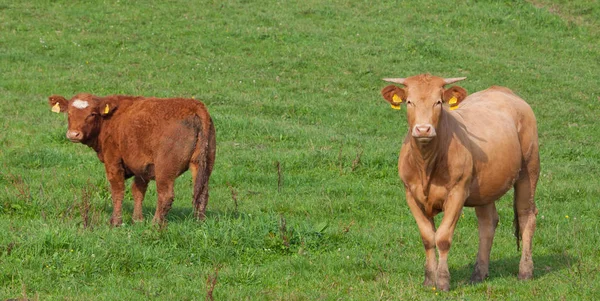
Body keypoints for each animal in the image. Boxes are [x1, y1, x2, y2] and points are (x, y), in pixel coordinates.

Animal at [48, 94, 216, 225]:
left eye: (92, 114)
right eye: (69, 113)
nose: (73, 134)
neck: (110, 120)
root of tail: (195, 106)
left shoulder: (113, 161)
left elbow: (118, 190)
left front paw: (116, 221)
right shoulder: (142, 167)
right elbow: (138, 191)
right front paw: (137, 219)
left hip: (165, 169)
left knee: (165, 195)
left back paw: (155, 224)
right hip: (204, 165)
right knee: (202, 194)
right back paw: (199, 222)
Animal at [382, 74, 540, 290]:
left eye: (438, 102)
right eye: (409, 102)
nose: (423, 129)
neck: (426, 165)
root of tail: (503, 91)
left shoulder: (457, 193)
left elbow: (442, 238)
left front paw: (442, 281)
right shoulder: (410, 195)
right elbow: (427, 238)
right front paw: (429, 279)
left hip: (529, 170)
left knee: (526, 217)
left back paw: (525, 271)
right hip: (485, 188)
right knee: (488, 223)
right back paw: (479, 274)